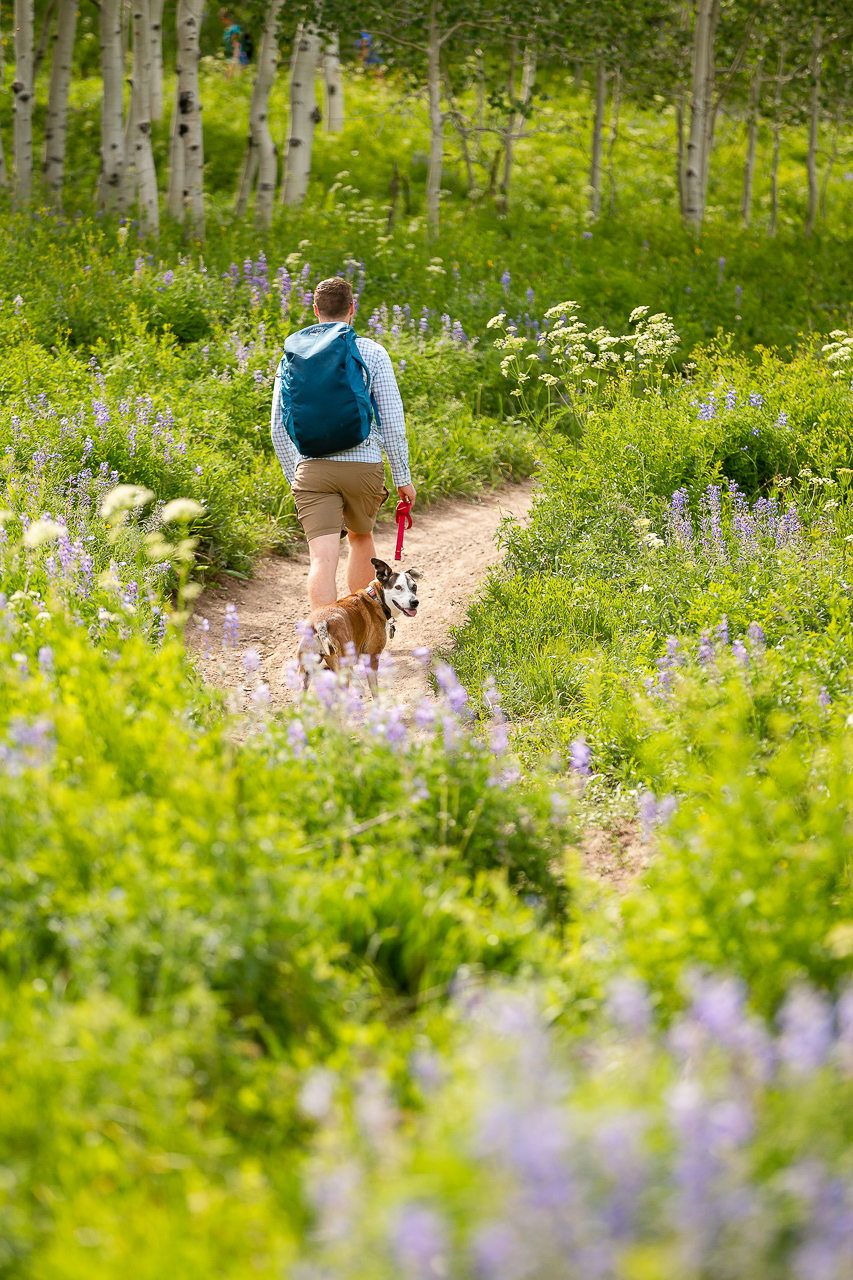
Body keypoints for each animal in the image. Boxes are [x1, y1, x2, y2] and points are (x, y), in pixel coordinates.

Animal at [295, 555, 422, 696]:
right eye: (398, 587)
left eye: (414, 586)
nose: (415, 602)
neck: (377, 599)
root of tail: (319, 623)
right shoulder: (371, 657)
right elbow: (375, 692)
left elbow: (359, 685)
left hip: (305, 675)